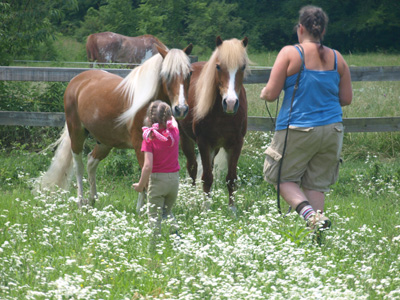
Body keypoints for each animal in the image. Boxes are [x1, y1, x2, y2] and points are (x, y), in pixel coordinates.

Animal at [36, 44, 193, 211]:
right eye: (167, 74)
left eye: (189, 73)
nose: (181, 109)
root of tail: (77, 80)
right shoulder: (140, 144)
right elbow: (146, 177)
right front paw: (141, 211)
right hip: (76, 133)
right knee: (79, 166)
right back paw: (81, 202)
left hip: (104, 141)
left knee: (91, 162)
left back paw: (92, 199)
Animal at [179, 36, 250, 212]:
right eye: (218, 66)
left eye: (243, 67)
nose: (230, 103)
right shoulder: (203, 142)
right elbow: (207, 177)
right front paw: (206, 209)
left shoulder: (236, 144)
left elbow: (231, 178)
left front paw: (232, 210)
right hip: (186, 139)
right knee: (193, 168)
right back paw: (192, 201)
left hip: (216, 147)